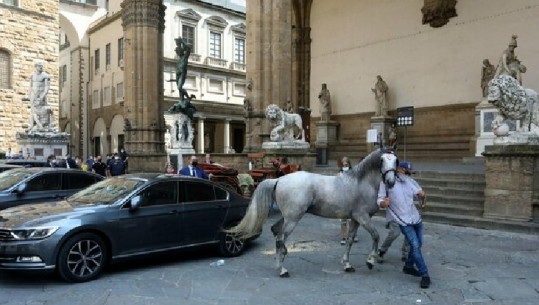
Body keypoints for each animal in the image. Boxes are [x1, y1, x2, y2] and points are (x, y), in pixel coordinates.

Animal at [226, 148, 398, 276]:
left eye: (396, 160)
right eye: (382, 160)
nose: (391, 182)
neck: (360, 183)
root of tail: (279, 179)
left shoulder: (355, 219)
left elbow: (350, 240)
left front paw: (347, 265)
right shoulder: (362, 217)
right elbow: (376, 236)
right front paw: (370, 261)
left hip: (288, 217)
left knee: (275, 231)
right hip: (293, 219)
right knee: (281, 237)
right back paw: (282, 269)